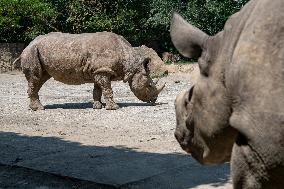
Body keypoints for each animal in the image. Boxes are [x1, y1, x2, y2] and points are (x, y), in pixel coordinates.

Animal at [16, 31, 166, 110]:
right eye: (150, 85)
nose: (154, 100)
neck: (131, 63)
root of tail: (29, 44)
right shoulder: (102, 71)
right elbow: (108, 89)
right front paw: (114, 107)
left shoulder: (99, 71)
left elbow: (98, 90)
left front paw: (98, 106)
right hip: (31, 51)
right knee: (35, 78)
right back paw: (39, 108)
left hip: (37, 52)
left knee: (40, 78)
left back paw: (36, 107)